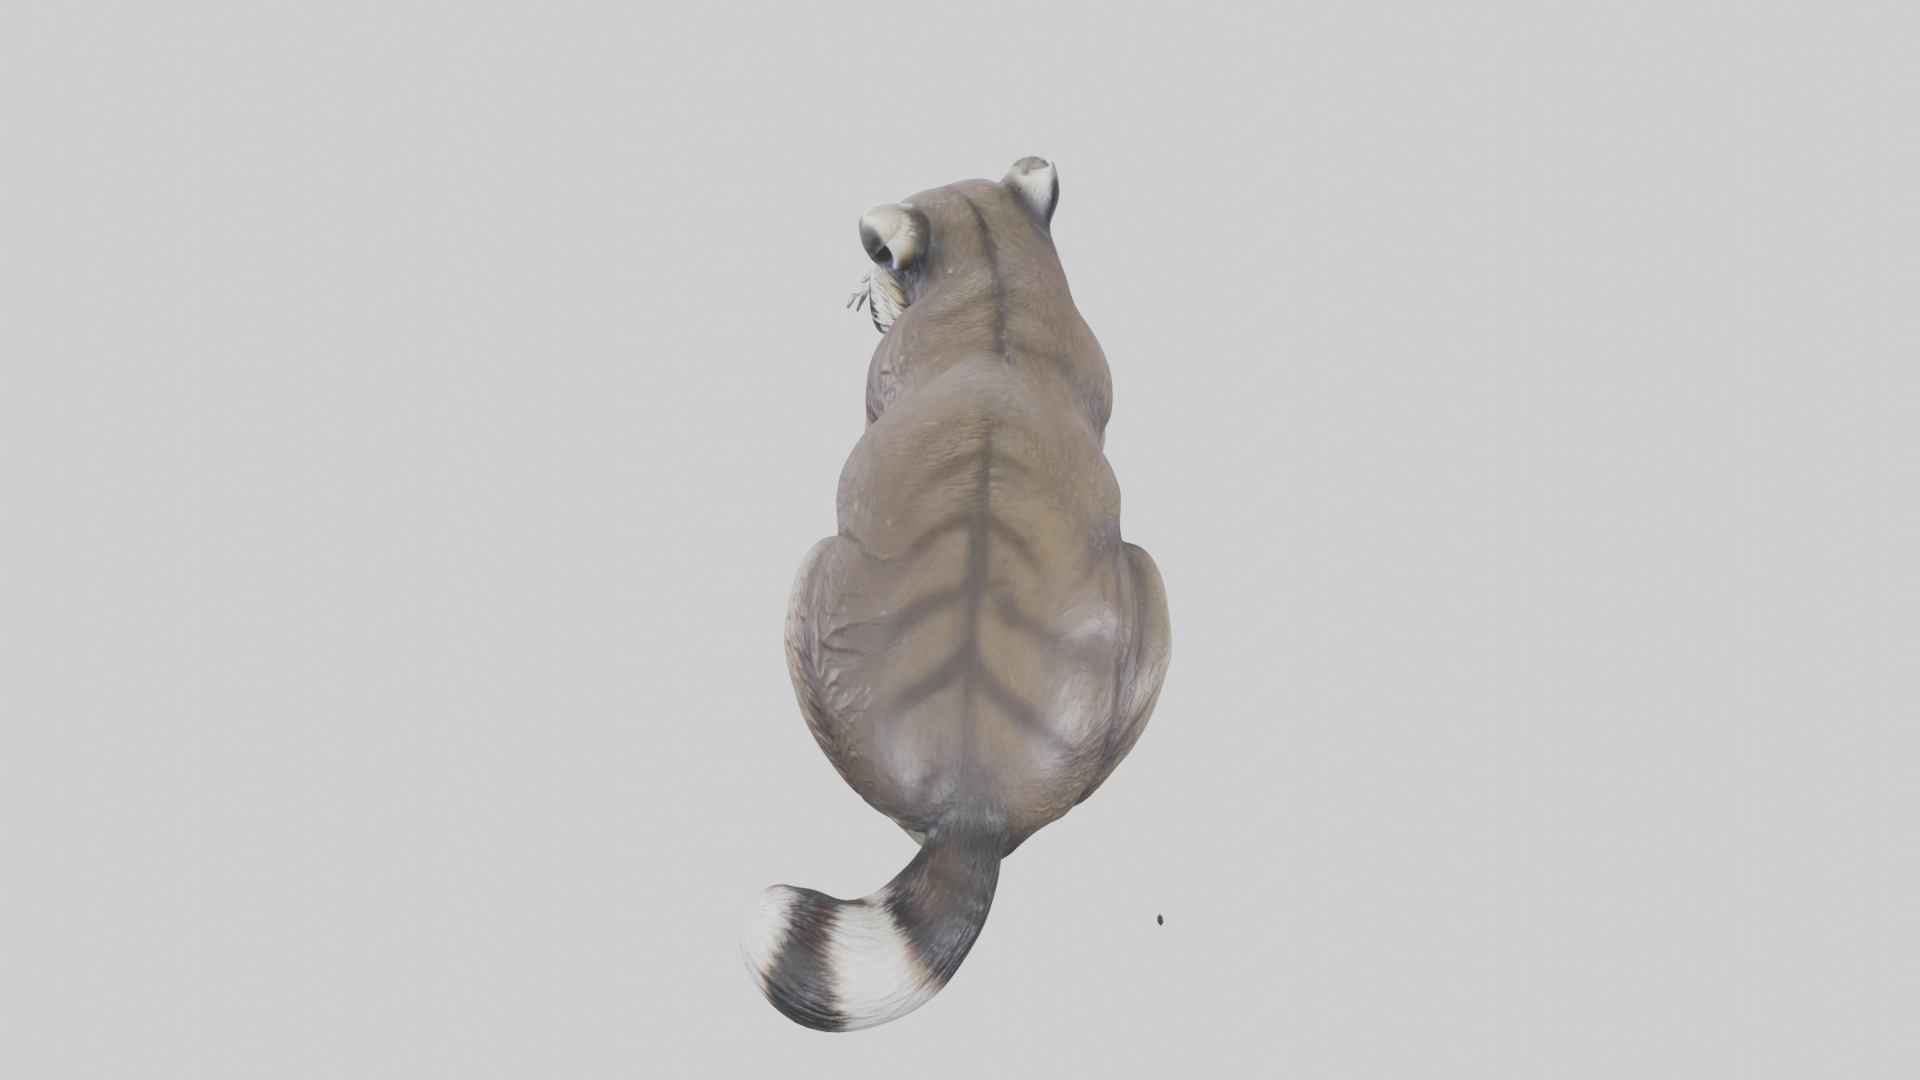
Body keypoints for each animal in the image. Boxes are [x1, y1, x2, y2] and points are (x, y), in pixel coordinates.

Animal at [744, 157, 1171, 1031]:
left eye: (875, 250)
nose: (864, 287)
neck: (994, 262)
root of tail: (972, 806)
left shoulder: (890, 366)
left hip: (812, 589)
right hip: (1146, 612)